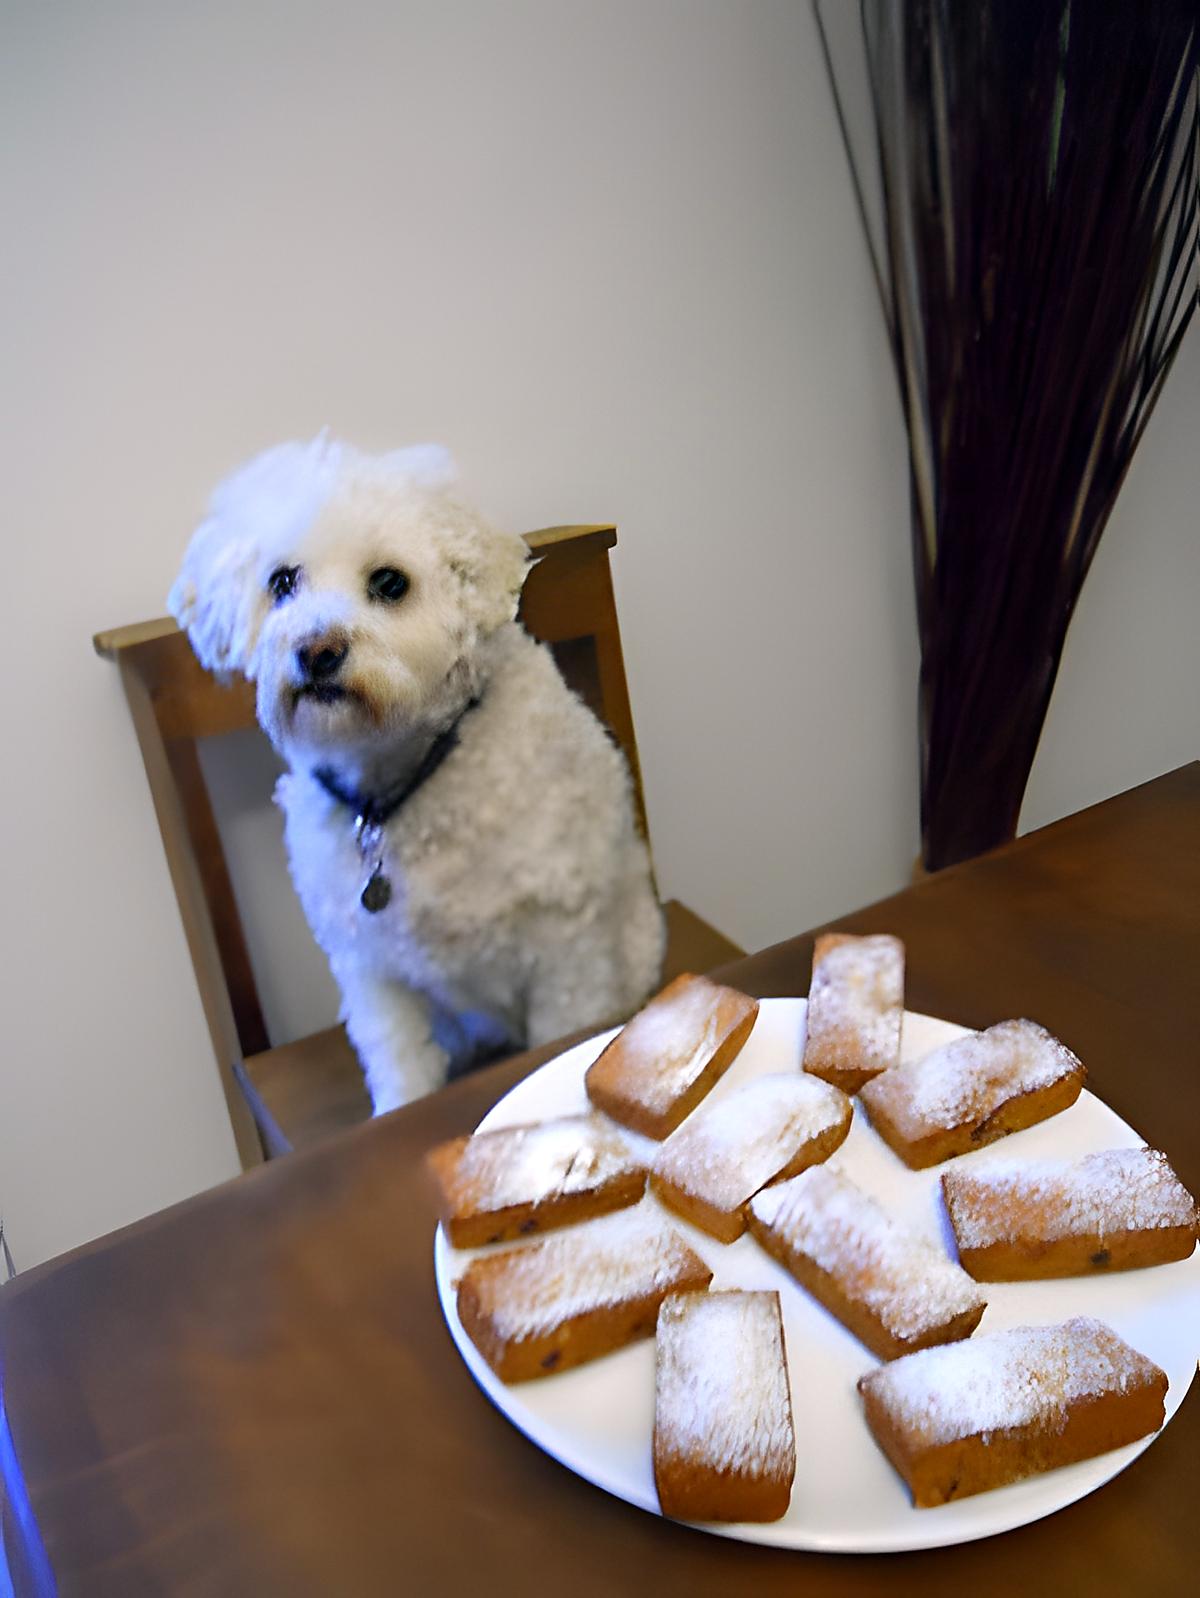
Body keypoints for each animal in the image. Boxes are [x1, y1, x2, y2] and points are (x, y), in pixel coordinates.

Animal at [170, 434, 667, 1112]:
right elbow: (400, 1065)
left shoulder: (566, 947)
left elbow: (566, 1031)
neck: (404, 788)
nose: (317, 651)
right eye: (281, 581)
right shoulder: (371, 968)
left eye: (389, 582)